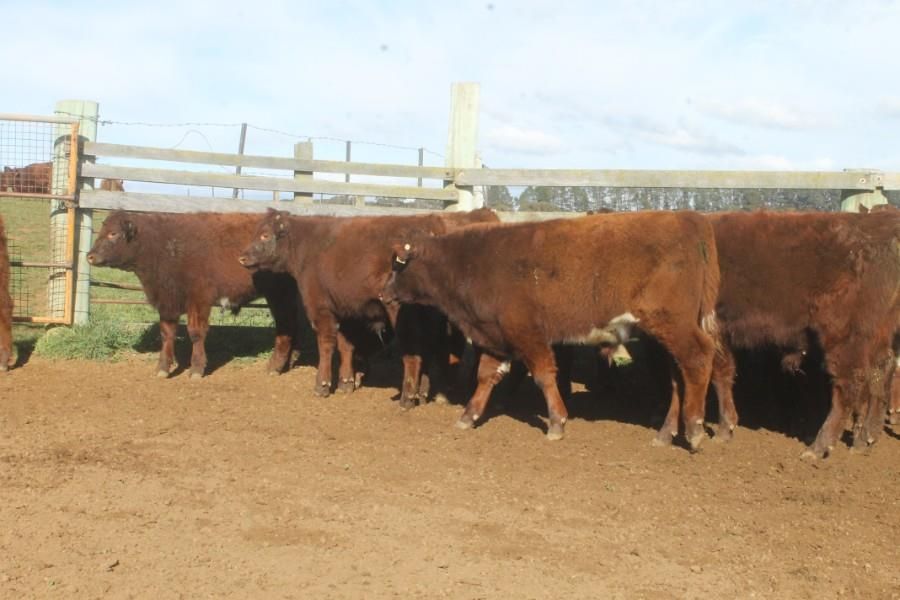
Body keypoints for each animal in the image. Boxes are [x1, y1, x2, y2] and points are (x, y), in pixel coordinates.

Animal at [87, 210, 302, 379]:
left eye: (113, 233)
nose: (90, 256)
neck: (165, 245)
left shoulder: (198, 300)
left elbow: (196, 333)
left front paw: (196, 369)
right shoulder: (167, 302)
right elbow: (167, 333)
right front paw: (163, 368)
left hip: (280, 296)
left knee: (286, 325)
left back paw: (275, 366)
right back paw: (289, 361)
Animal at [238, 208, 501, 405]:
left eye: (265, 235)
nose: (242, 257)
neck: (310, 247)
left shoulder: (321, 308)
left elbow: (326, 345)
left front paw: (323, 385)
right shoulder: (346, 312)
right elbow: (346, 346)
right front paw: (345, 383)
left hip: (402, 314)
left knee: (414, 350)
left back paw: (408, 397)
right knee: (428, 349)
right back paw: (422, 392)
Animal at [380, 211, 721, 447]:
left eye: (399, 264)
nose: (383, 293)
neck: (473, 262)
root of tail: (688, 217)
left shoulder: (529, 334)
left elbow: (544, 376)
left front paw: (557, 423)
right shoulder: (494, 336)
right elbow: (486, 377)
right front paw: (469, 415)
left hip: (673, 324)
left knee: (699, 359)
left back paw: (694, 428)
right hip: (665, 334)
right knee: (678, 377)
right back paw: (666, 433)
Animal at [701, 211, 900, 458]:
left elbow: (718, 375)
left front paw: (722, 430)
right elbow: (724, 374)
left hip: (845, 338)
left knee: (849, 383)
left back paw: (818, 447)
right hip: (876, 337)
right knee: (881, 370)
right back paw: (864, 440)